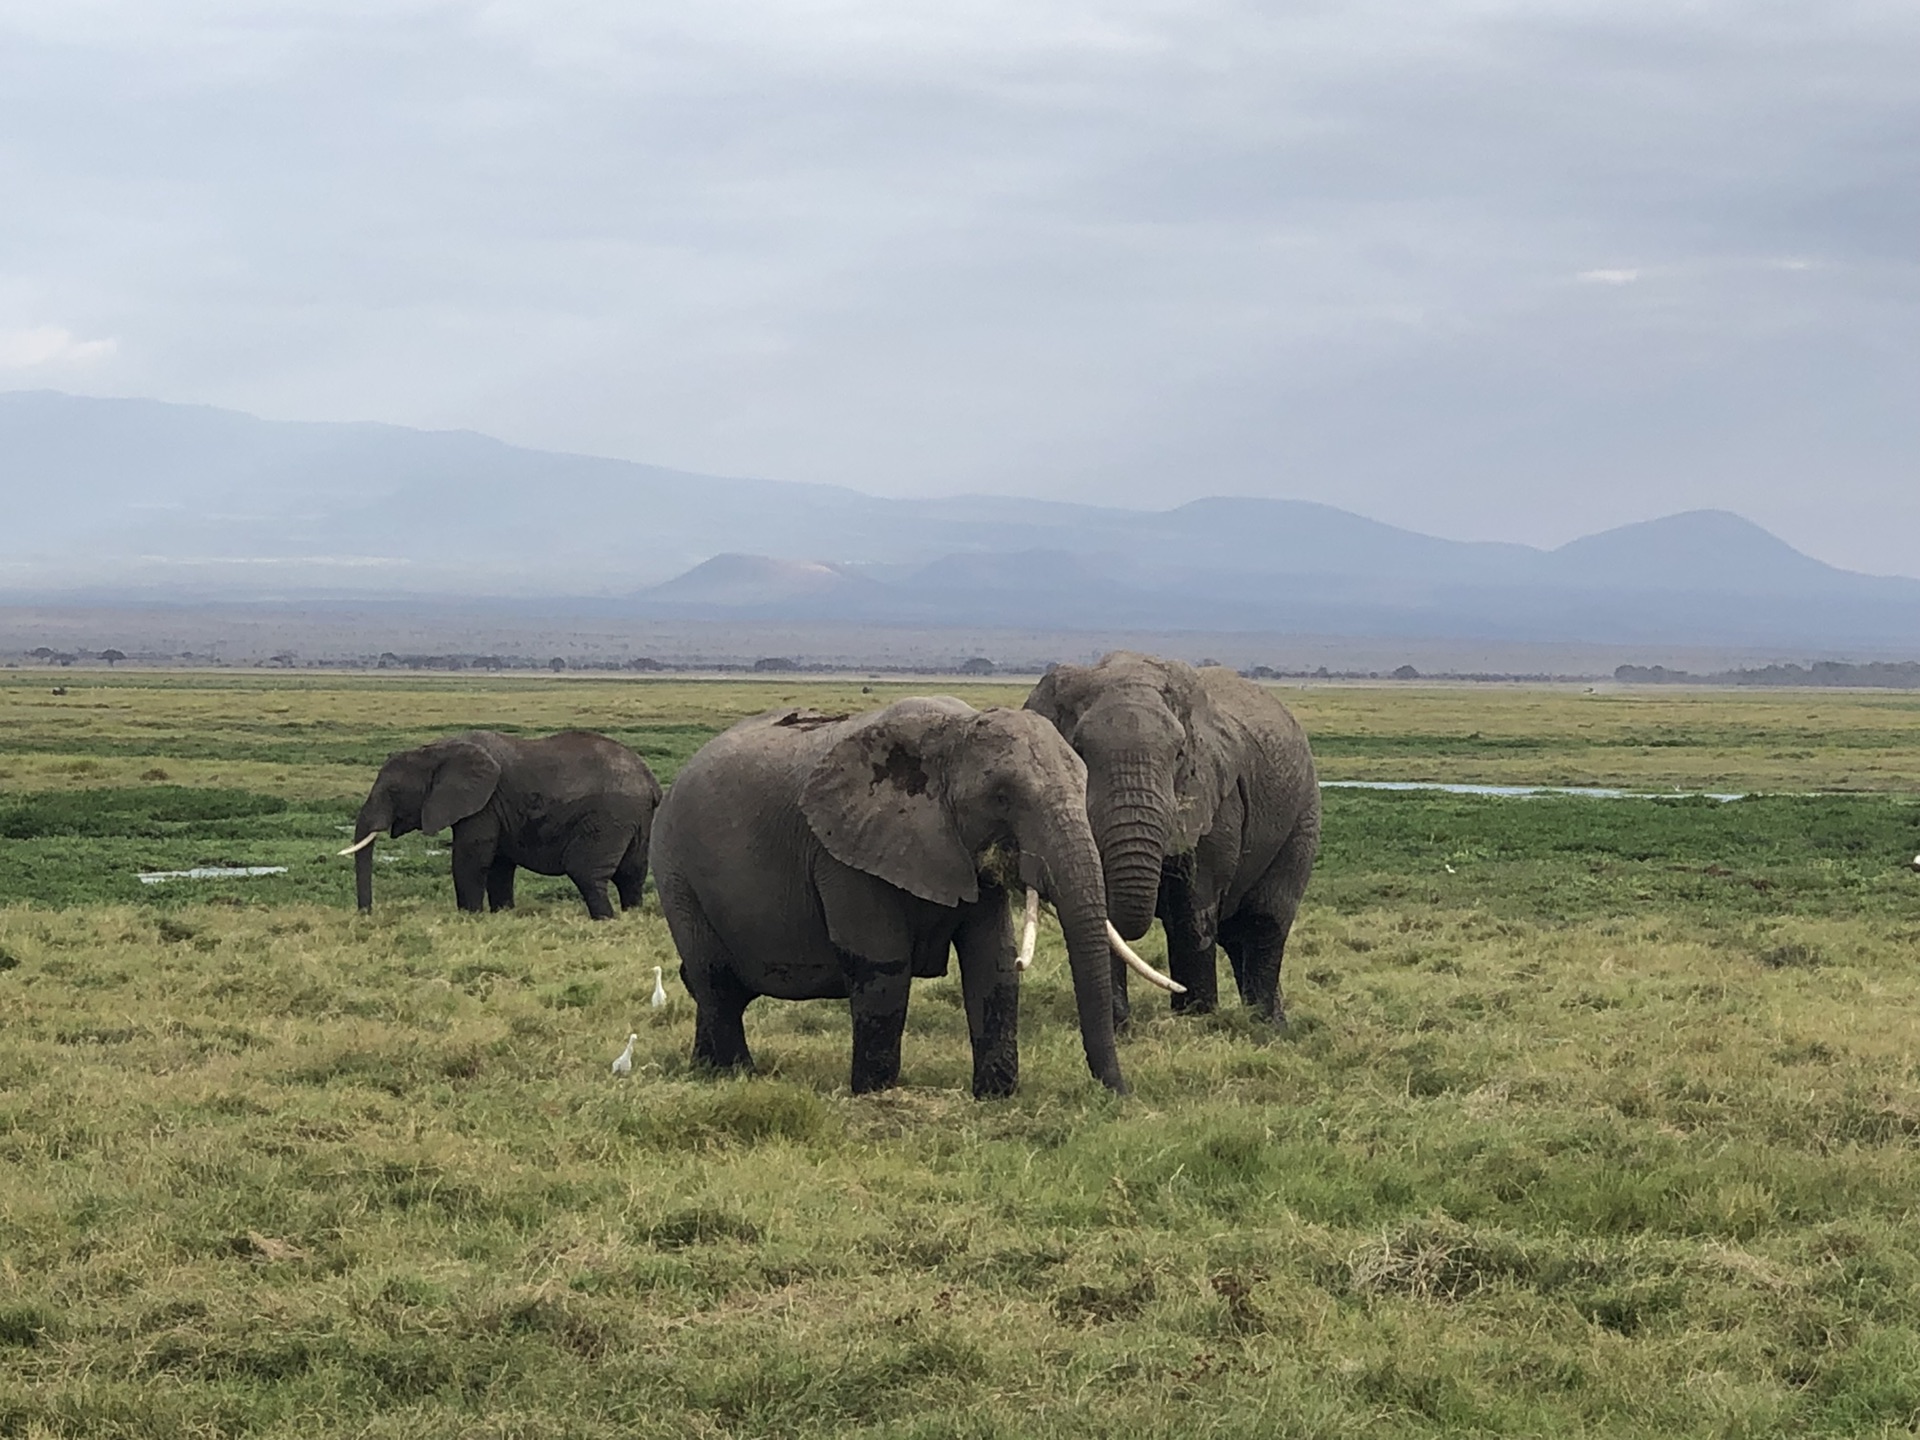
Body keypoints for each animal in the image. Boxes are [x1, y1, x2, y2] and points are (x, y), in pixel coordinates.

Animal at [345, 733, 668, 925]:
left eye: (393, 792)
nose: (366, 915)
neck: (438, 749)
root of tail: (650, 781)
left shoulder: (483, 804)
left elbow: (471, 859)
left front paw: (469, 917)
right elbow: (500, 865)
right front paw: (501, 914)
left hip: (609, 817)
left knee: (587, 873)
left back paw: (605, 920)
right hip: (636, 820)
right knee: (632, 875)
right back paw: (631, 916)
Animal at [652, 698, 1175, 1090]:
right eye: (1002, 797)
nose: (1118, 1094)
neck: (951, 733)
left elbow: (993, 963)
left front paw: (996, 1097)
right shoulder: (842, 855)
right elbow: (883, 968)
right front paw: (874, 1093)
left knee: (708, 985)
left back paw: (705, 1068)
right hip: (676, 870)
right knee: (715, 980)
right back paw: (736, 1075)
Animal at [1029, 648, 1313, 1029]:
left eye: (1179, 755)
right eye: (1077, 750)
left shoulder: (1216, 799)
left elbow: (1192, 910)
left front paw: (1196, 1021)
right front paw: (1119, 1029)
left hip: (1303, 815)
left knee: (1263, 923)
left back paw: (1264, 1024)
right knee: (1236, 935)